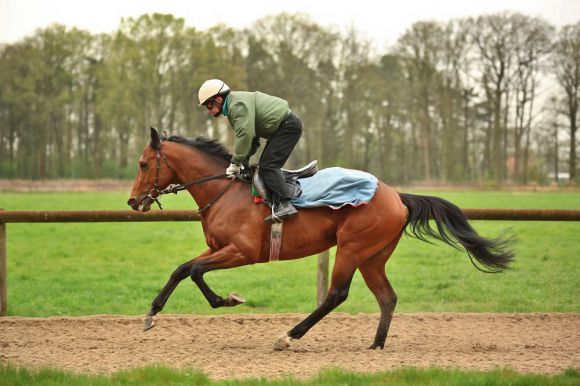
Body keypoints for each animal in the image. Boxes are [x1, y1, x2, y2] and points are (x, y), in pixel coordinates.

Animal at [127, 128, 512, 352]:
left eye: (144, 164)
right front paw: (150, 314)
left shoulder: (241, 251)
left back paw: (288, 336)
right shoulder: (216, 247)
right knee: (387, 297)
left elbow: (195, 273)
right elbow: (182, 269)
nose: (133, 201)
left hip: (352, 247)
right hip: (373, 256)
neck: (224, 191)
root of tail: (397, 196)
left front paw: (229, 299)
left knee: (336, 294)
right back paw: (376, 346)